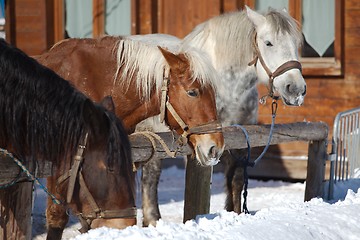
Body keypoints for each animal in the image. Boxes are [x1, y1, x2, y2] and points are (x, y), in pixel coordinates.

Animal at [131, 6, 306, 227]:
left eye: (296, 44)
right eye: (268, 42)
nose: (297, 90)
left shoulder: (241, 136)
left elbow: (236, 179)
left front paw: (234, 212)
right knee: (149, 177)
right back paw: (153, 219)